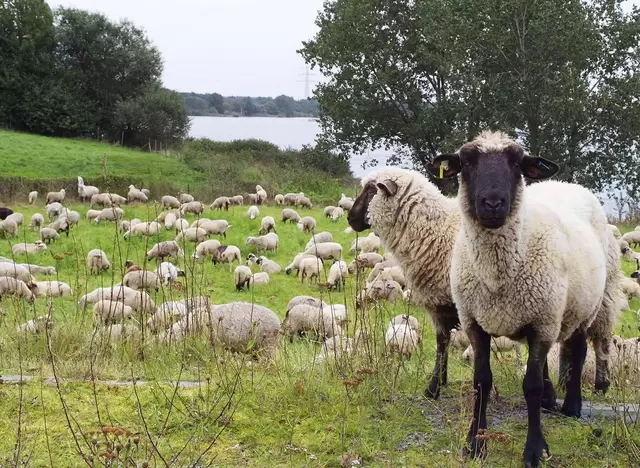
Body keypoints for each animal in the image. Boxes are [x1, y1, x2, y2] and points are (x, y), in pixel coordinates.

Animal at [436, 130, 620, 466]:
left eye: (516, 163)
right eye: (467, 162)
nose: (493, 204)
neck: (497, 274)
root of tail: (564, 183)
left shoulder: (542, 321)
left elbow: (530, 386)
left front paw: (535, 450)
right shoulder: (475, 322)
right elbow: (481, 381)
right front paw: (475, 444)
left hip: (584, 306)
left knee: (578, 350)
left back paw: (572, 406)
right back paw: (550, 399)